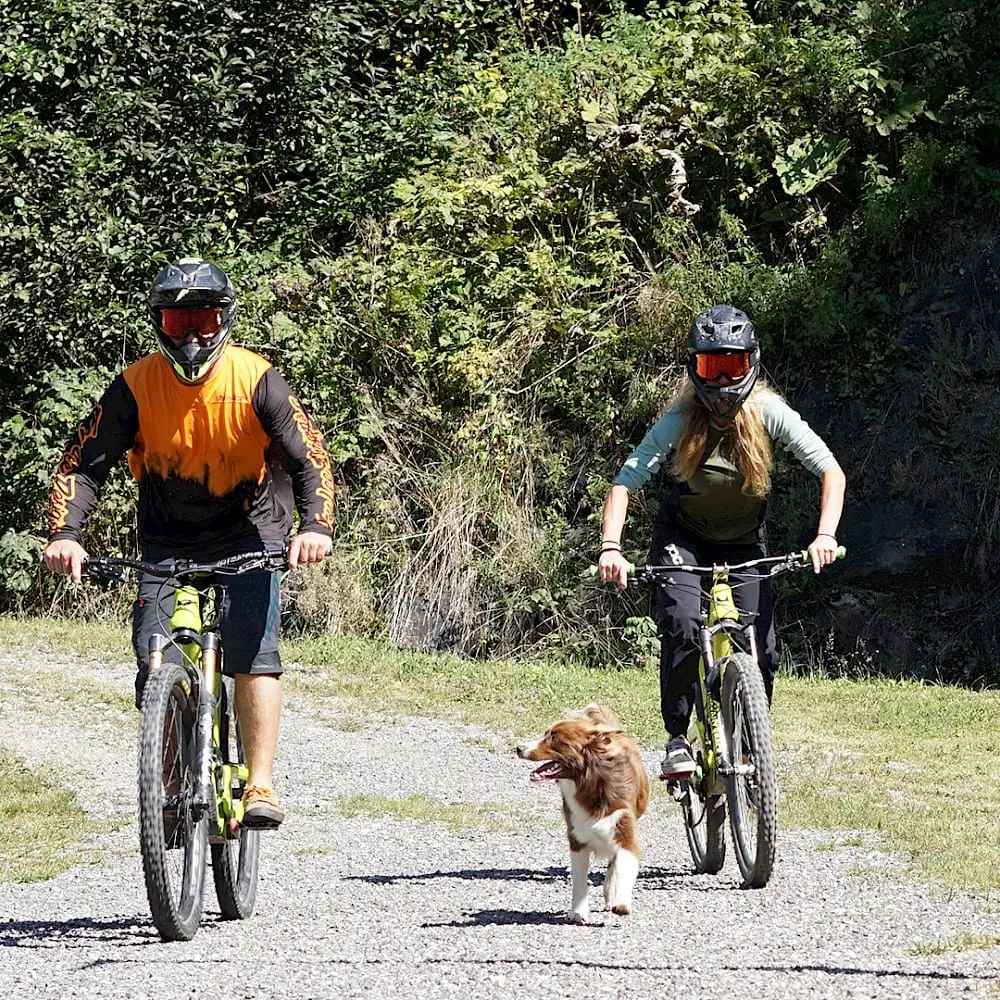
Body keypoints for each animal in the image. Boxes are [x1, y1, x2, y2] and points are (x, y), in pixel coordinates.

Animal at [516, 704, 648, 920]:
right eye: (546, 734)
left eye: (554, 738)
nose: (518, 748)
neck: (590, 783)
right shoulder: (577, 836)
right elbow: (579, 879)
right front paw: (578, 912)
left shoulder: (624, 830)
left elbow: (624, 866)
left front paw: (620, 901)